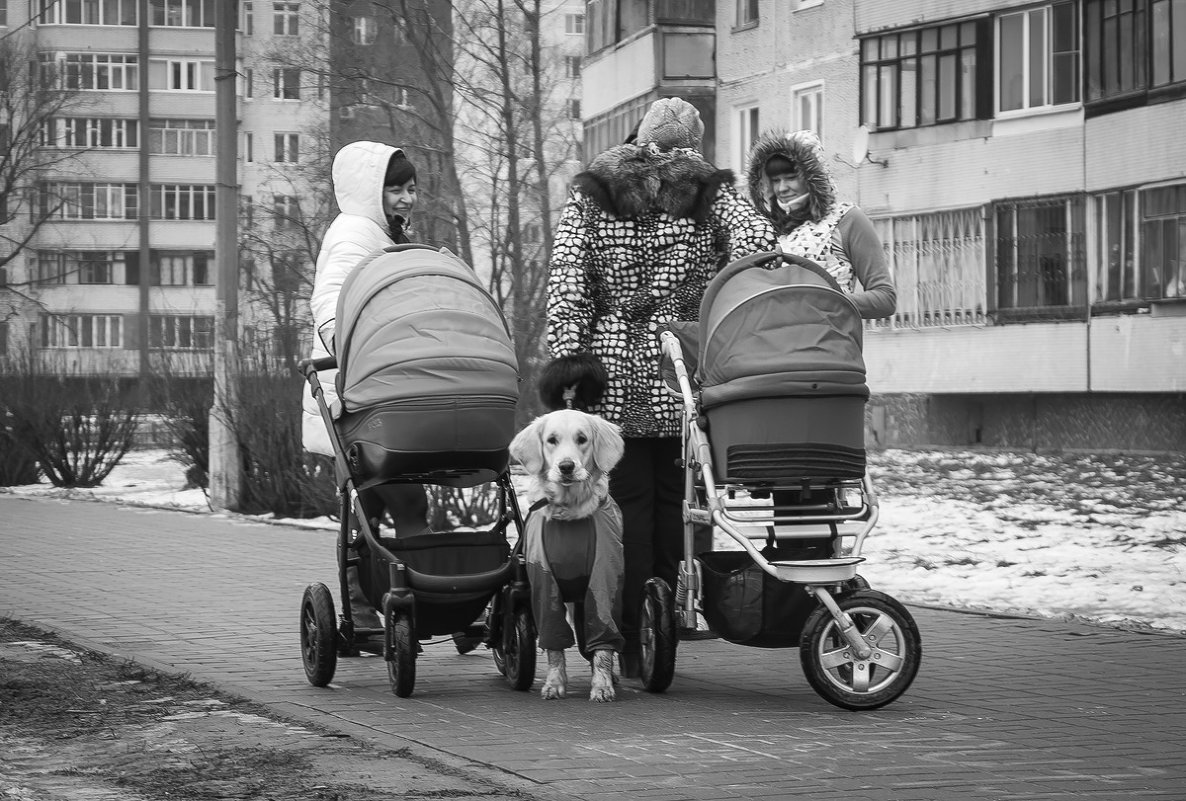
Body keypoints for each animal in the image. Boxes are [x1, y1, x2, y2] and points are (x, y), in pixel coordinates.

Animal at [514, 410, 635, 697]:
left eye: (582, 439)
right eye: (551, 440)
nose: (566, 466)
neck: (569, 511)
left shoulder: (603, 579)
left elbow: (603, 640)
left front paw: (602, 685)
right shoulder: (544, 581)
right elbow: (554, 641)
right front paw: (554, 683)